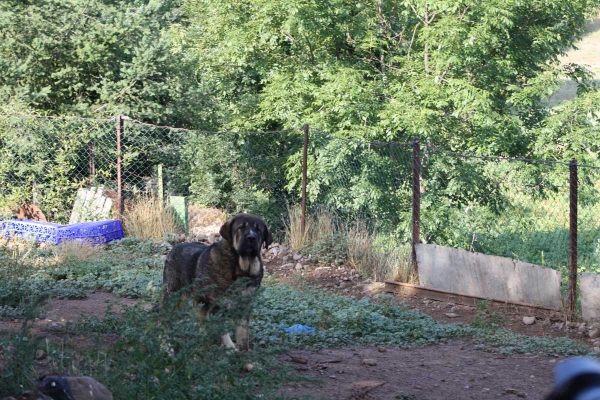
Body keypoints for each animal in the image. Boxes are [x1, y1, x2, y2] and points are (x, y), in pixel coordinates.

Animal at [159, 212, 272, 350]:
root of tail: (175, 247)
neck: (239, 268)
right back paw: (166, 346)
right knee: (162, 319)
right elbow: (216, 332)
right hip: (174, 298)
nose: (251, 237)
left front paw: (242, 353)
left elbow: (242, 334)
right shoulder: (209, 306)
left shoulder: (243, 307)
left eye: (258, 229)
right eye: (241, 227)